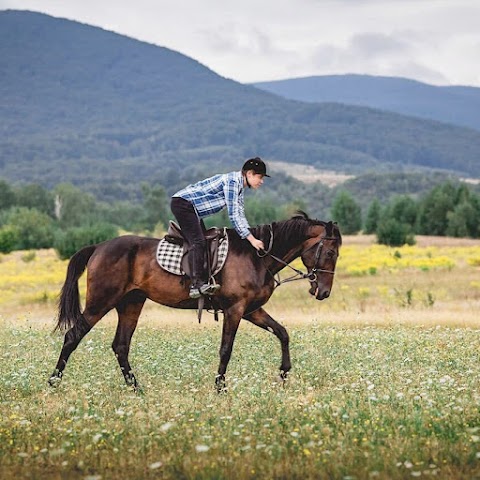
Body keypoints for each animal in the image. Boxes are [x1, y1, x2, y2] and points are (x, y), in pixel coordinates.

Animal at [48, 212, 342, 392]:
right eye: (330, 252)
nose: (324, 292)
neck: (257, 256)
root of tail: (98, 247)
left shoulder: (252, 310)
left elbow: (282, 332)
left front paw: (283, 373)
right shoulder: (235, 309)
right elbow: (226, 349)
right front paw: (220, 387)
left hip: (131, 303)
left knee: (120, 346)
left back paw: (137, 389)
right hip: (101, 302)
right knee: (73, 336)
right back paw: (53, 382)